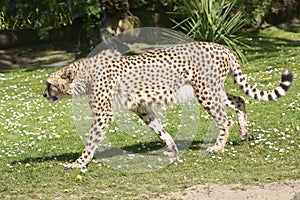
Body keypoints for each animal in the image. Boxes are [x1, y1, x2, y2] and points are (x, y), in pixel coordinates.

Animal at [43, 41, 294, 169]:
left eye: (49, 84)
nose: (44, 94)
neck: (82, 77)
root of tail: (221, 46)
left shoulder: (104, 114)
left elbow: (91, 140)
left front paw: (79, 162)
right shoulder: (142, 108)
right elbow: (159, 130)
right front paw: (172, 149)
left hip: (205, 92)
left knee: (225, 119)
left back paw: (218, 147)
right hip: (213, 90)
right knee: (240, 100)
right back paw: (243, 134)